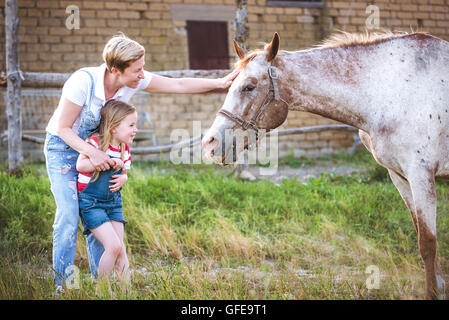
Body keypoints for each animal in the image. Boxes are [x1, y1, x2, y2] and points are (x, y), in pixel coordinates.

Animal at [202, 31, 448, 298]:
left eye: (249, 86)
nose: (209, 143)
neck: (388, 91)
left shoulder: (420, 174)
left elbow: (428, 244)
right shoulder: (399, 176)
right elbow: (422, 237)